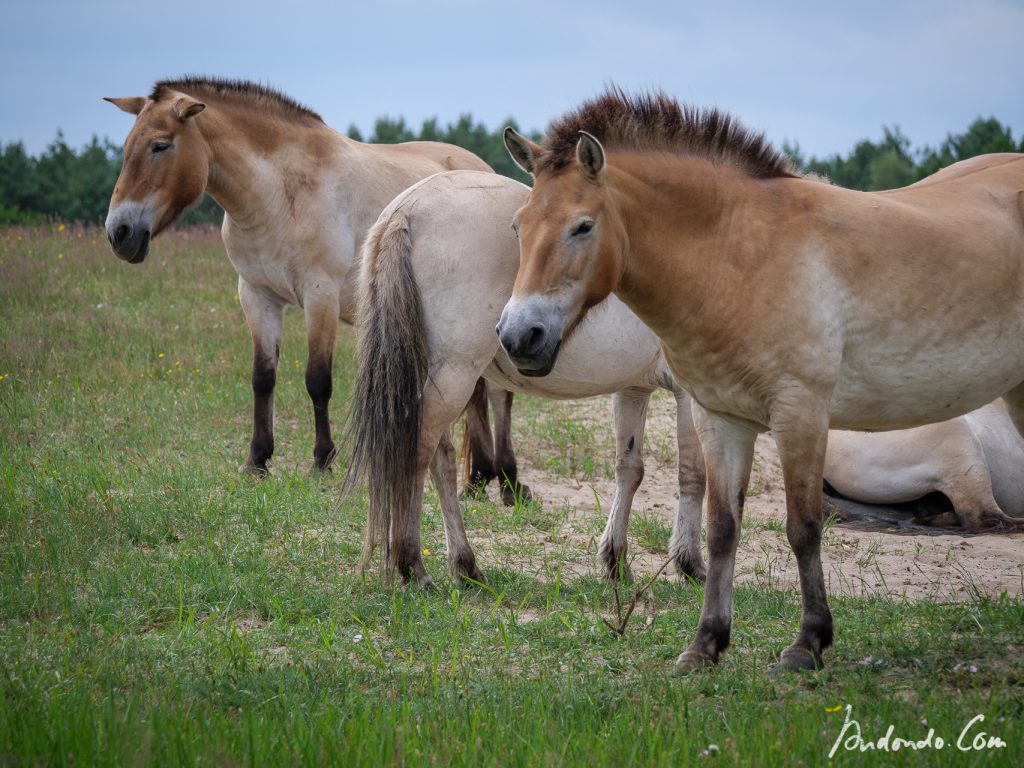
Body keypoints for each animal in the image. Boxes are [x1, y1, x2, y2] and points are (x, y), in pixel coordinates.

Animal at [105, 75, 520, 495]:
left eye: (160, 145)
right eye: (125, 148)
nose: (119, 232)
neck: (277, 193)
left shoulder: (320, 295)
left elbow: (318, 380)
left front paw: (322, 461)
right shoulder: (256, 296)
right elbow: (263, 378)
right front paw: (256, 460)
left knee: (498, 395)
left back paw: (508, 481)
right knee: (477, 394)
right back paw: (479, 477)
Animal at [348, 169, 708, 589]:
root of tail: (409, 206)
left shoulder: (633, 390)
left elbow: (629, 471)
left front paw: (615, 562)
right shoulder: (690, 395)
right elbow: (693, 476)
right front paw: (691, 564)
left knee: (439, 458)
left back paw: (465, 567)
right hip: (455, 374)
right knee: (420, 451)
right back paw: (414, 567)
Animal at [497, 90, 1024, 671]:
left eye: (583, 226)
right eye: (519, 225)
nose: (518, 336)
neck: (741, 256)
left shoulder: (799, 414)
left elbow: (803, 527)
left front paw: (808, 642)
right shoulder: (721, 417)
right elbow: (722, 527)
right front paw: (706, 643)